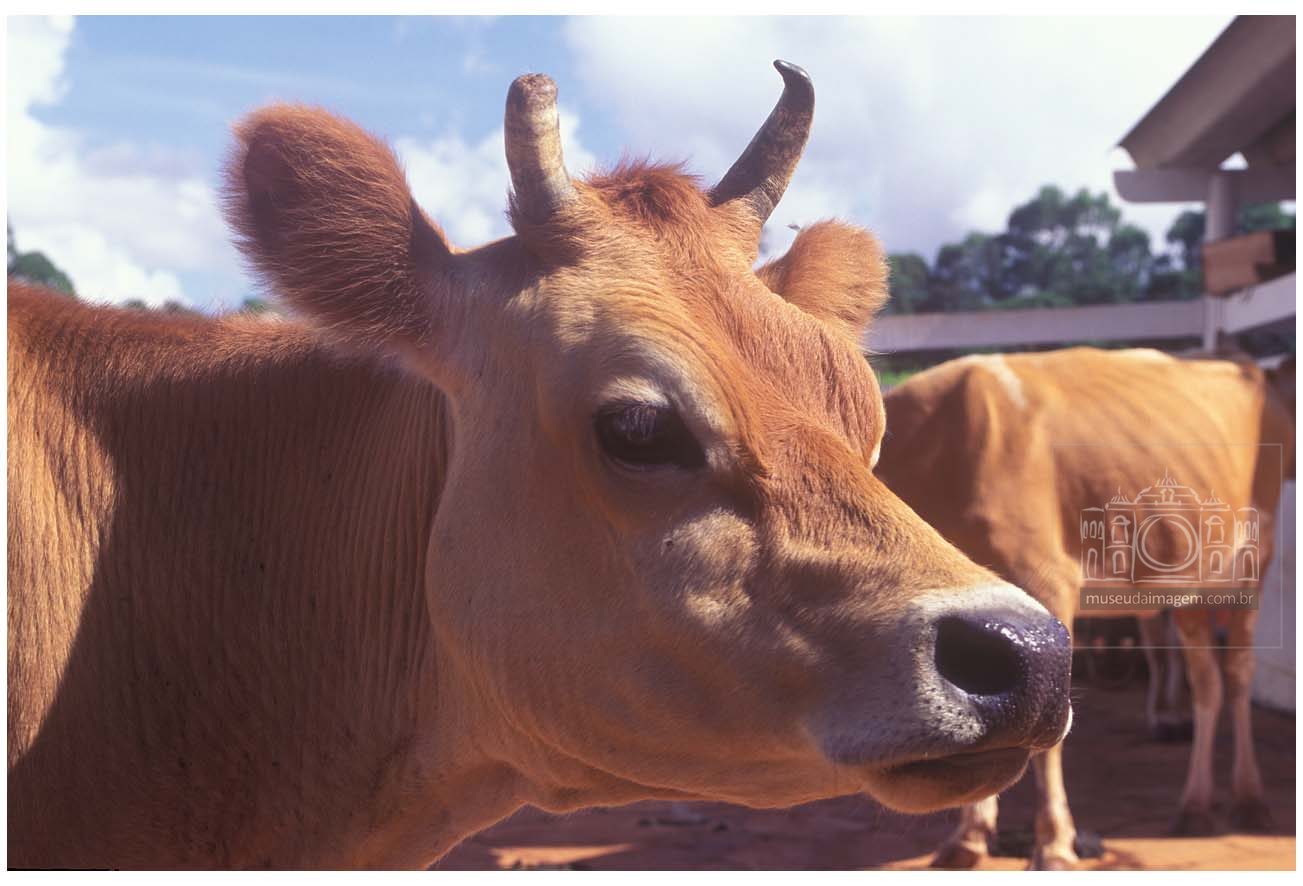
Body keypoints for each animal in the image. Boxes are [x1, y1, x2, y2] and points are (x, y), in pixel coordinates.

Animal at [874, 347, 1293, 870]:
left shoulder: (1044, 577)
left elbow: (1047, 735)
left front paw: (1055, 843)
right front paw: (969, 837)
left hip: (1252, 562)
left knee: (1236, 676)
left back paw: (1247, 799)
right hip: (1190, 580)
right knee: (1207, 683)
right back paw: (1195, 806)